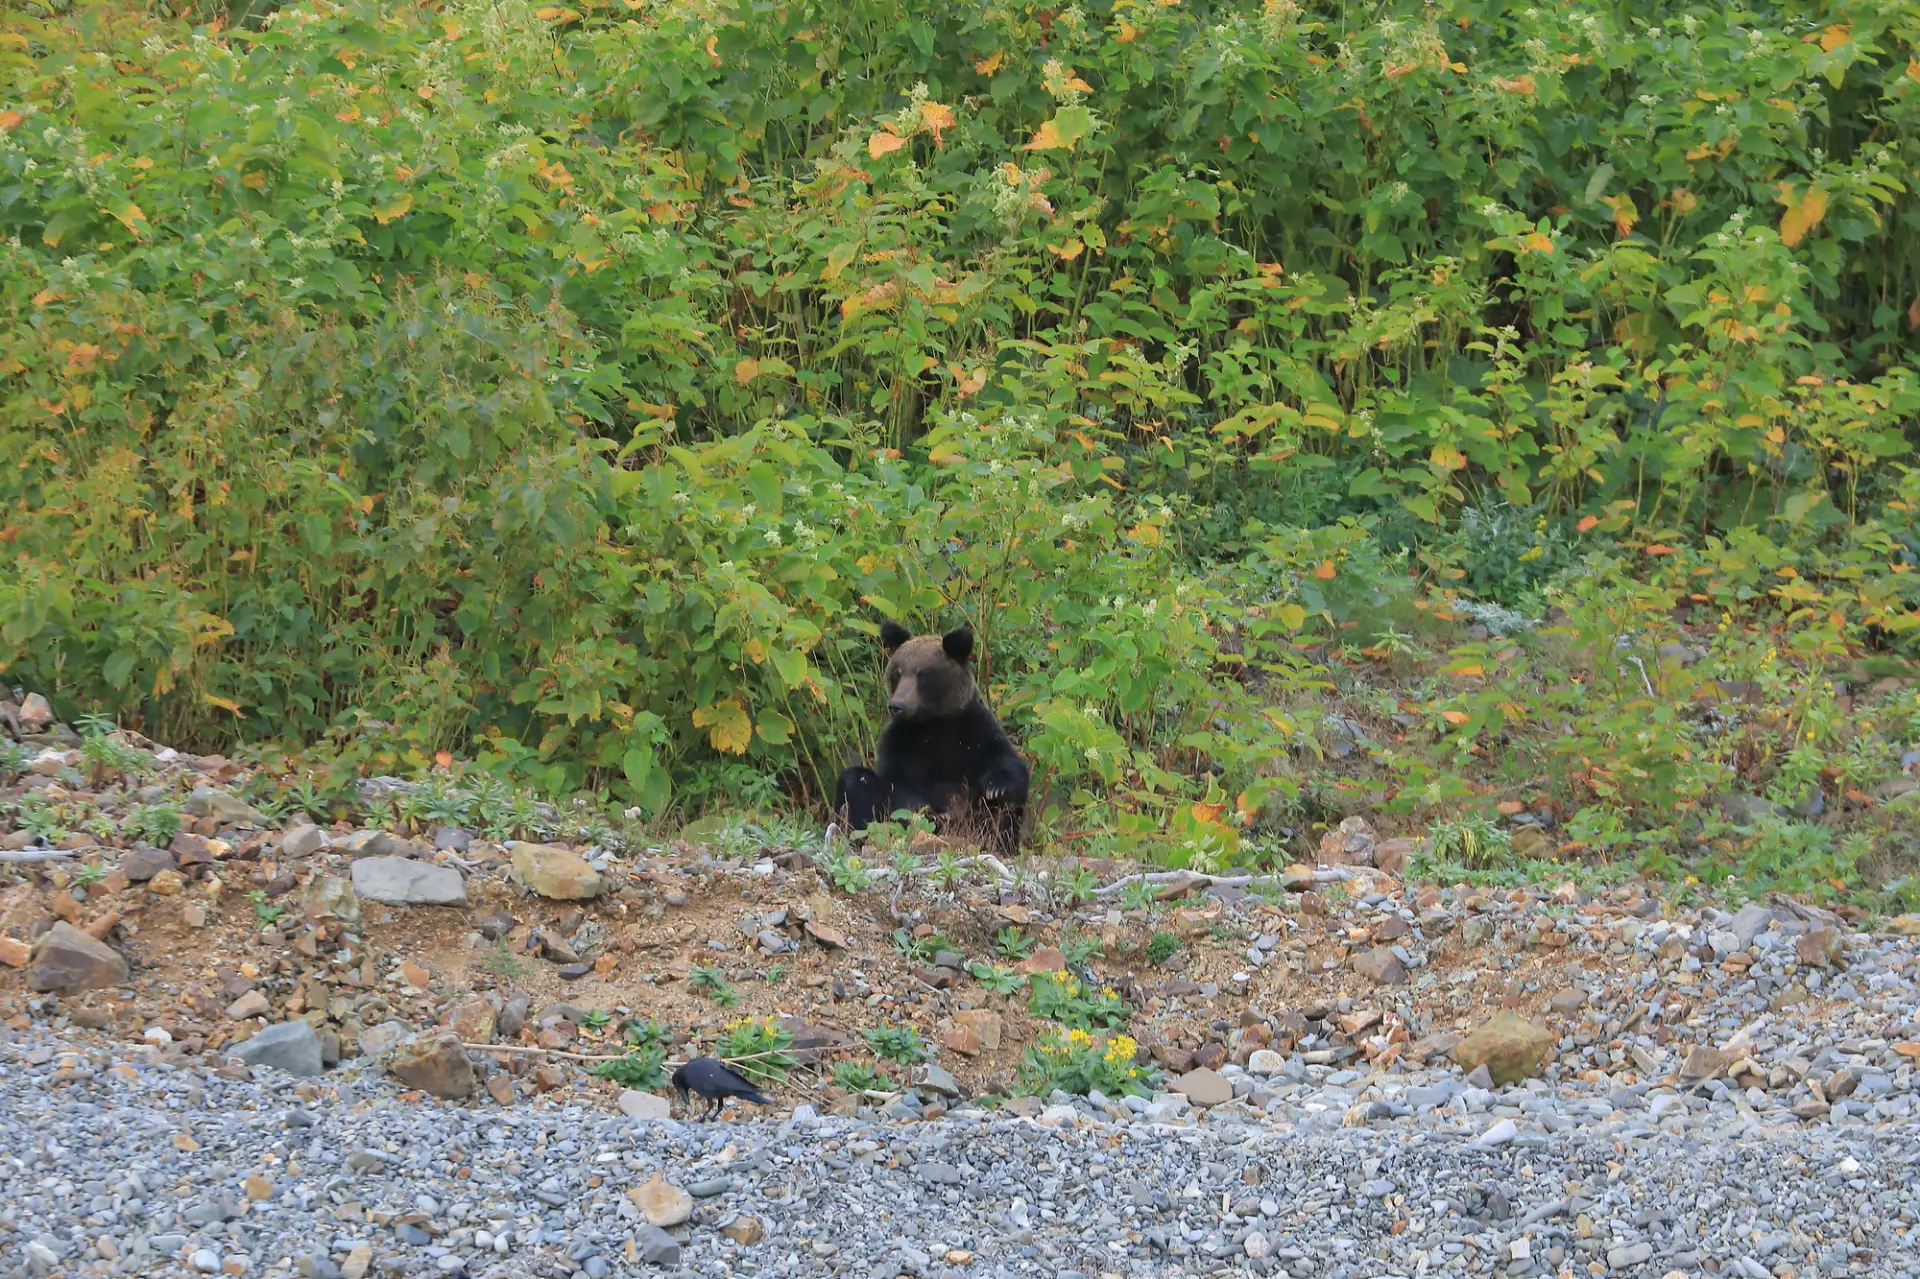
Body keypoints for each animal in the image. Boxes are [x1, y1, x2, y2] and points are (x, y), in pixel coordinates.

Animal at [833, 620, 1030, 854]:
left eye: (922, 674)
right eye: (897, 672)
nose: (897, 706)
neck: (933, 722)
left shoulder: (973, 731)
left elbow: (1007, 763)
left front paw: (996, 788)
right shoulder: (902, 740)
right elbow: (897, 783)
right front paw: (924, 811)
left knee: (1002, 815)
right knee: (856, 784)